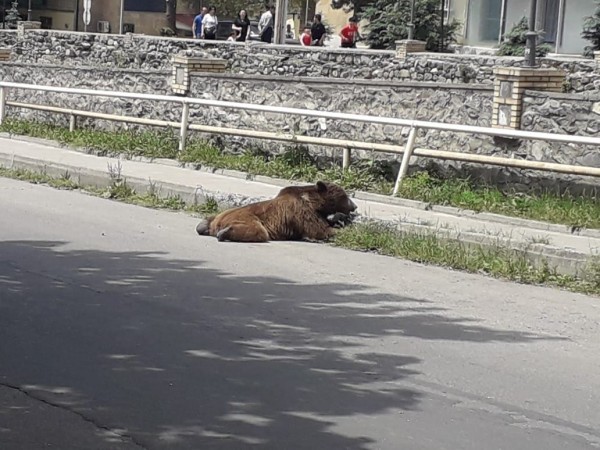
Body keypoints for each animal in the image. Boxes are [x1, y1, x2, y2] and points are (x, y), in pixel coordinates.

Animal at [196, 181, 356, 243]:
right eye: (345, 197)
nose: (355, 206)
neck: (314, 203)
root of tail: (217, 223)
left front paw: (339, 220)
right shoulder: (302, 212)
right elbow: (320, 230)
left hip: (219, 214)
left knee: (206, 220)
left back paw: (203, 226)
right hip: (246, 217)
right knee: (258, 231)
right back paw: (224, 233)